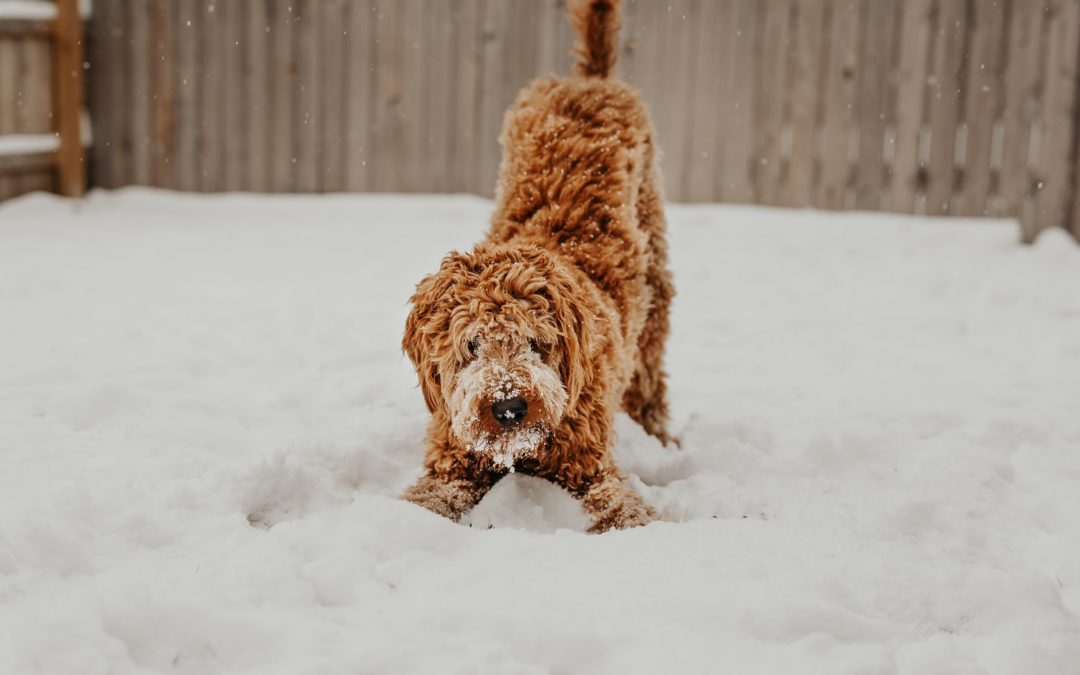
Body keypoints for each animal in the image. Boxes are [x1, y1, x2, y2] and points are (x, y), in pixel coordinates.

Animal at [403, 0, 673, 531]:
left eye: (536, 341)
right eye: (472, 345)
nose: (509, 406)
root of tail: (589, 80)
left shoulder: (590, 462)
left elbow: (621, 503)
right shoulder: (452, 457)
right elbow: (428, 497)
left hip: (655, 277)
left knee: (651, 369)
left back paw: (659, 434)